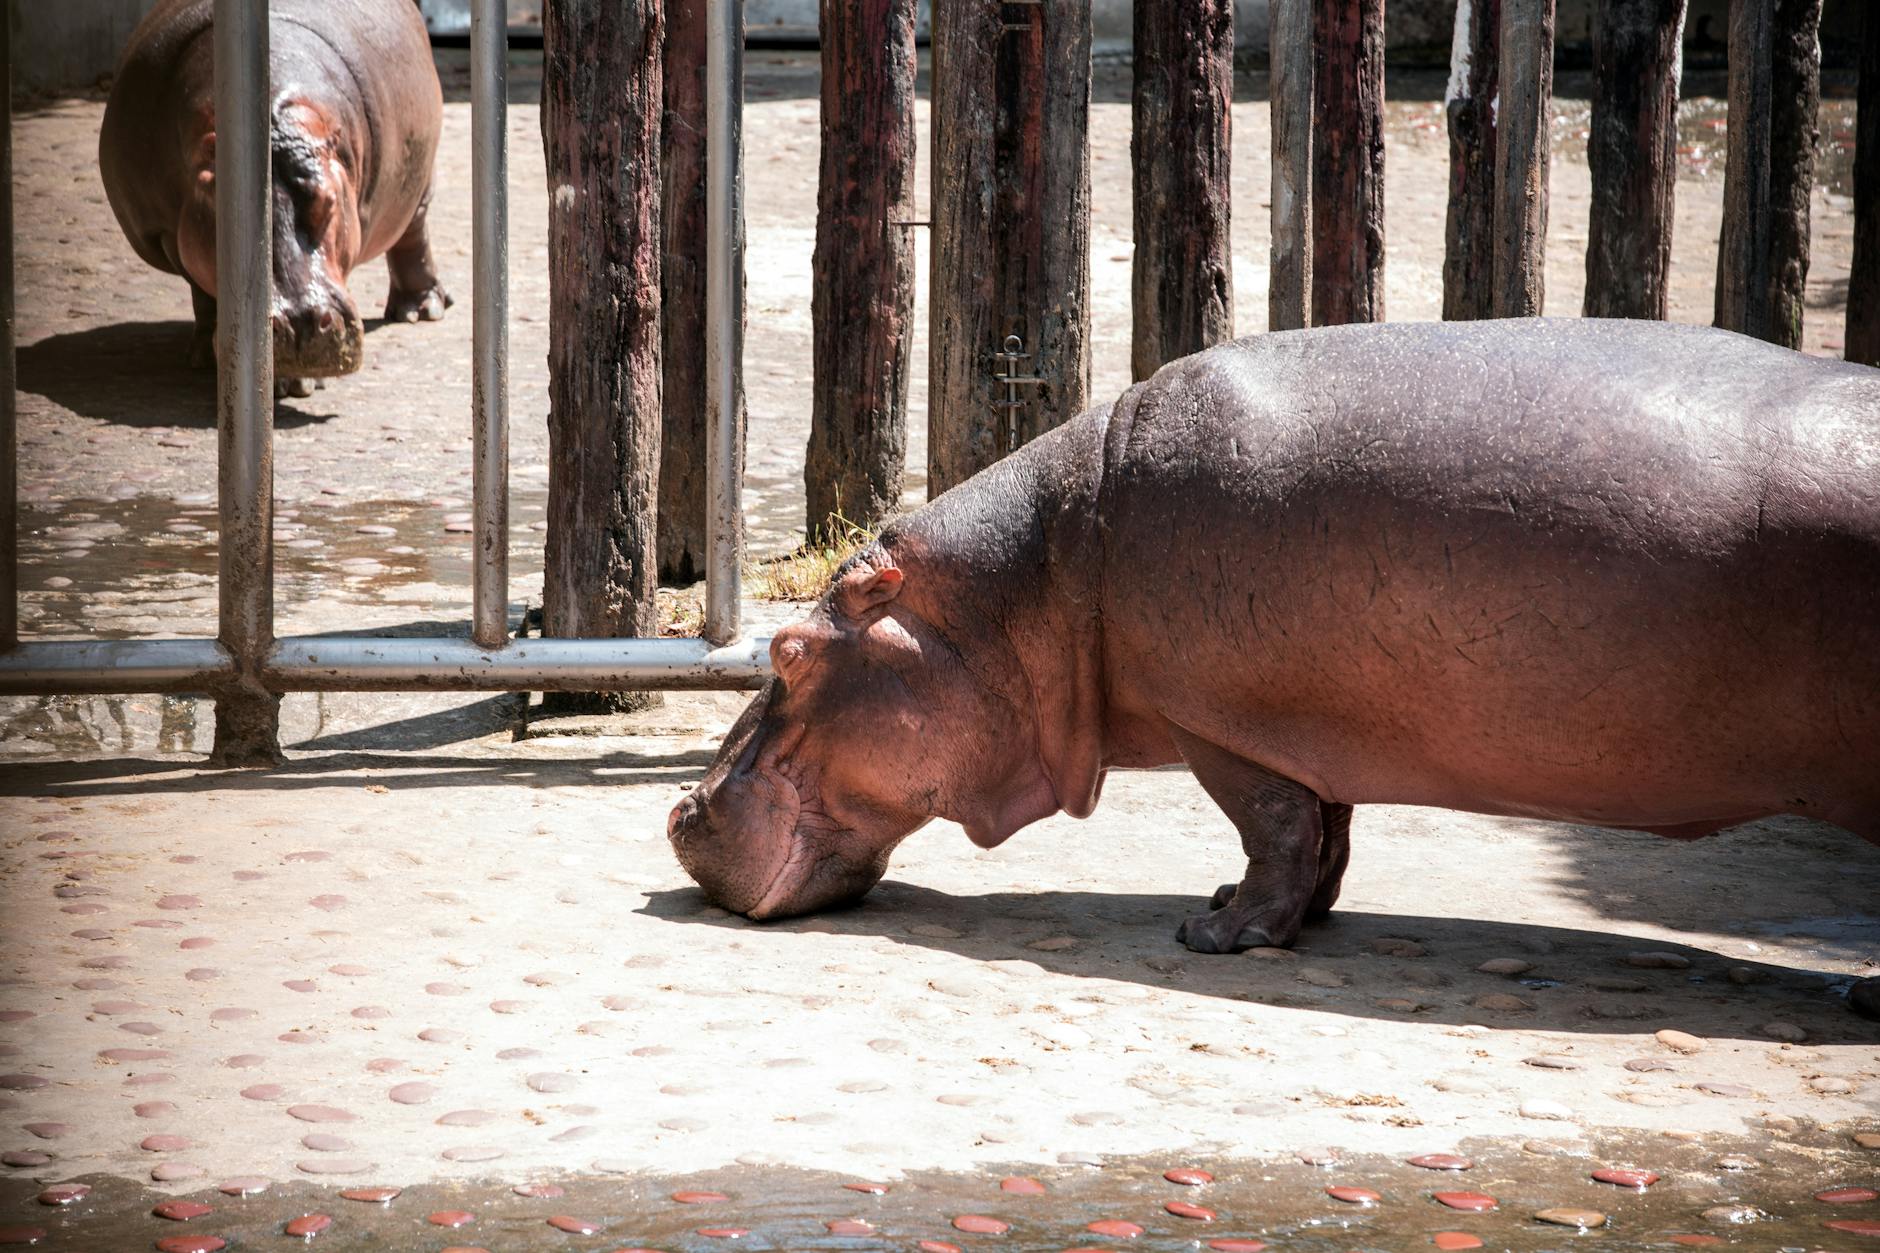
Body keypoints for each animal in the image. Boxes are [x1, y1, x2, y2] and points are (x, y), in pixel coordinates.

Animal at [99, 0, 451, 397]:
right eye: (228, 218)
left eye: (328, 202)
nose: (301, 323)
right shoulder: (170, 232)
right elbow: (202, 289)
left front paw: (293, 381)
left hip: (420, 181)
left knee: (413, 235)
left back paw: (420, 310)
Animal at [669, 319, 1880, 1005]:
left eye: (786, 648)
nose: (681, 811)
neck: (1035, 576)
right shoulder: (1307, 719)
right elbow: (1330, 827)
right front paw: (1270, 916)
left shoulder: (1220, 722)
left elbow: (1277, 828)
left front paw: (1215, 932)